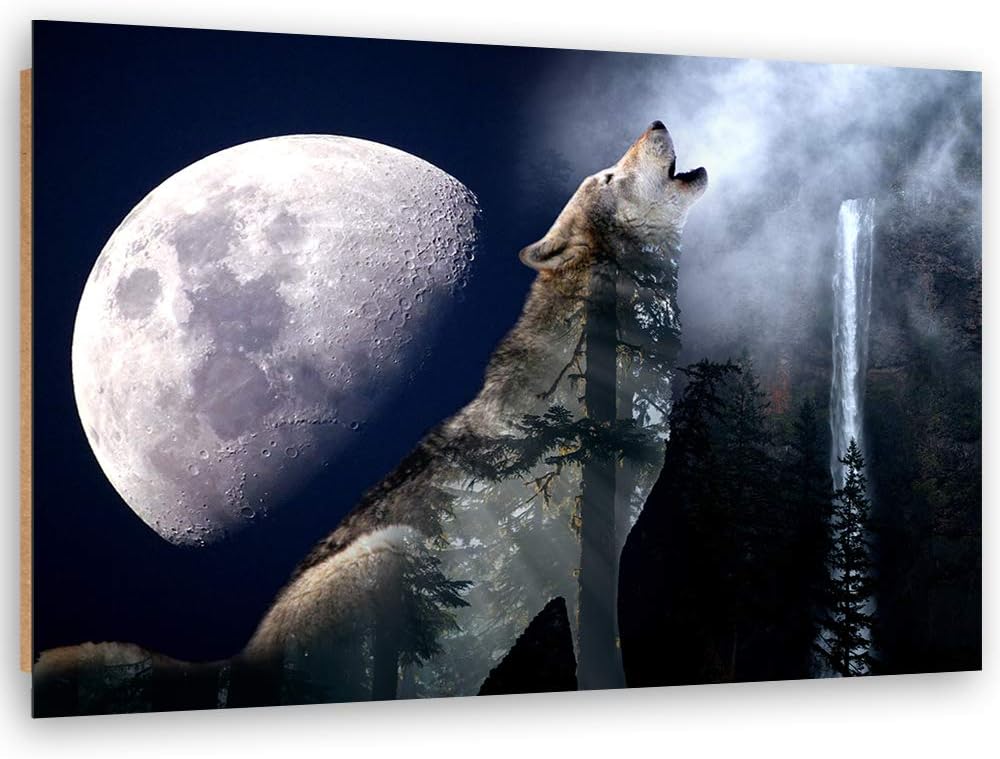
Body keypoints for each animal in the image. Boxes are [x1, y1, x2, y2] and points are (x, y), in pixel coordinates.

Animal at [34, 122, 706, 713]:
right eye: (609, 176)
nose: (655, 123)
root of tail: (239, 661)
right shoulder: (588, 554)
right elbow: (604, 665)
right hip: (394, 556)